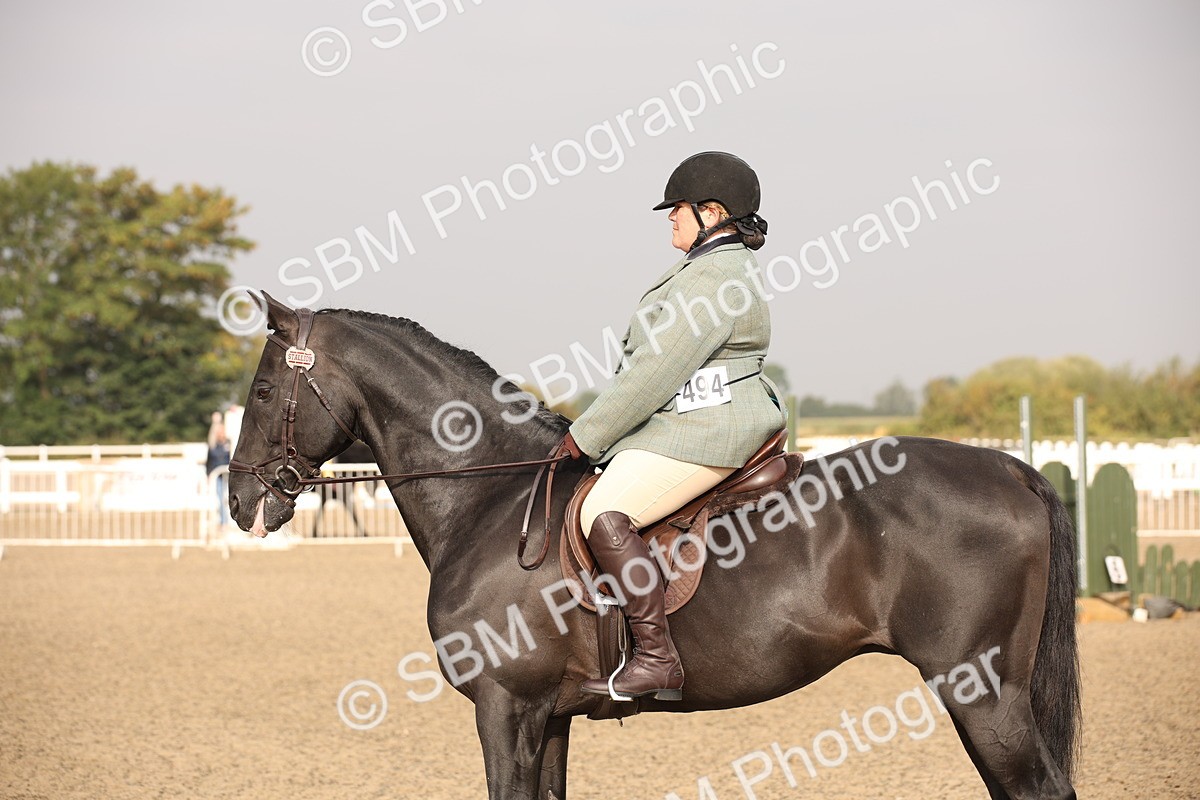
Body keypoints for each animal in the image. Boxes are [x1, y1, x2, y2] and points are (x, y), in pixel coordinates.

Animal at [227, 292, 1080, 800]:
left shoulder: (506, 707)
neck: (489, 496)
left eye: (263, 391)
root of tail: (1011, 468)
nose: (239, 500)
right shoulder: (549, 716)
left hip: (981, 690)